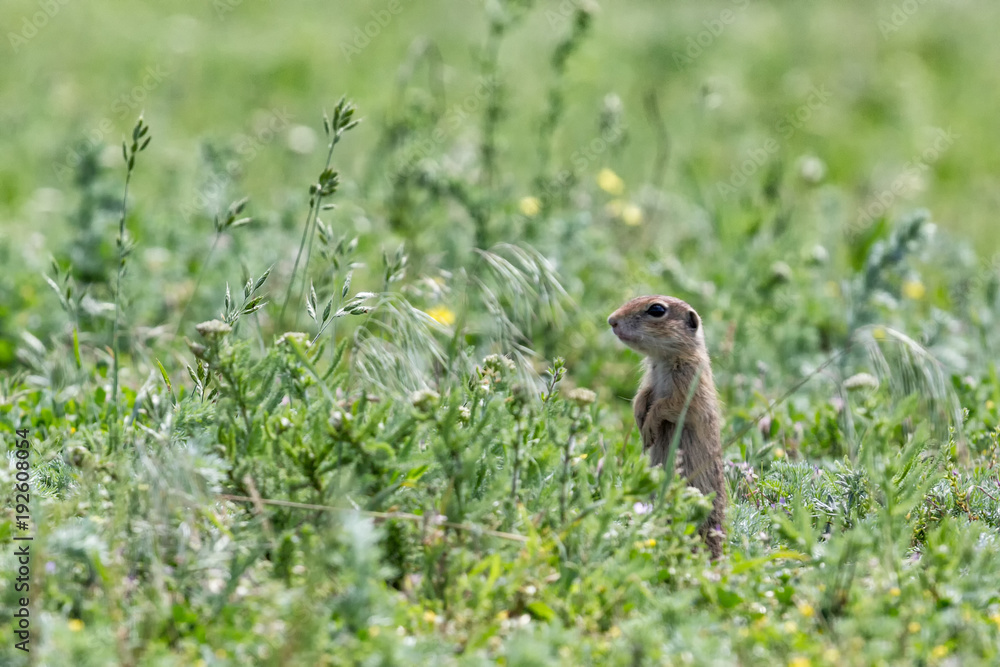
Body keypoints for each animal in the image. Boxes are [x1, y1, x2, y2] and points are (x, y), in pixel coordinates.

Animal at [608, 295, 727, 559]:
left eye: (656, 310)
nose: (611, 320)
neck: (662, 359)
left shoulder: (689, 383)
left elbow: (669, 405)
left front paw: (649, 429)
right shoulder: (649, 380)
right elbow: (642, 396)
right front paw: (641, 423)